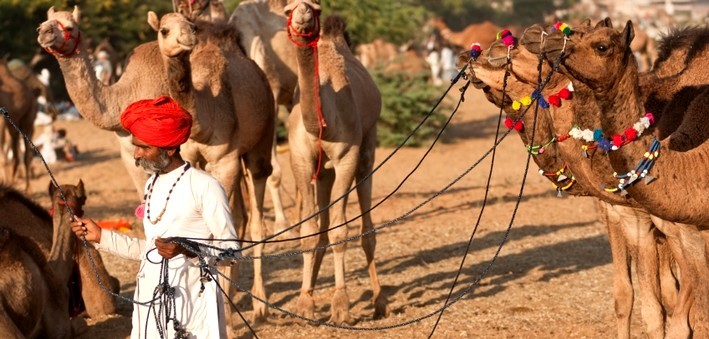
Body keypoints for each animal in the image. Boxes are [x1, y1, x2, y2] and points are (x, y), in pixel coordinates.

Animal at [0, 58, 36, 193]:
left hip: (28, 120)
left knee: (26, 155)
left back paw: (28, 189)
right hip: (13, 126)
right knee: (15, 154)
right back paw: (12, 184)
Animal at [284, 1, 390, 326]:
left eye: (314, 7)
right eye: (287, 10)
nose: (303, 14)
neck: (323, 124)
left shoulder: (347, 157)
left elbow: (341, 233)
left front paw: (341, 306)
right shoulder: (301, 161)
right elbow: (309, 231)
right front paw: (304, 304)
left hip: (367, 148)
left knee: (367, 229)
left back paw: (379, 302)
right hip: (324, 173)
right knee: (322, 225)